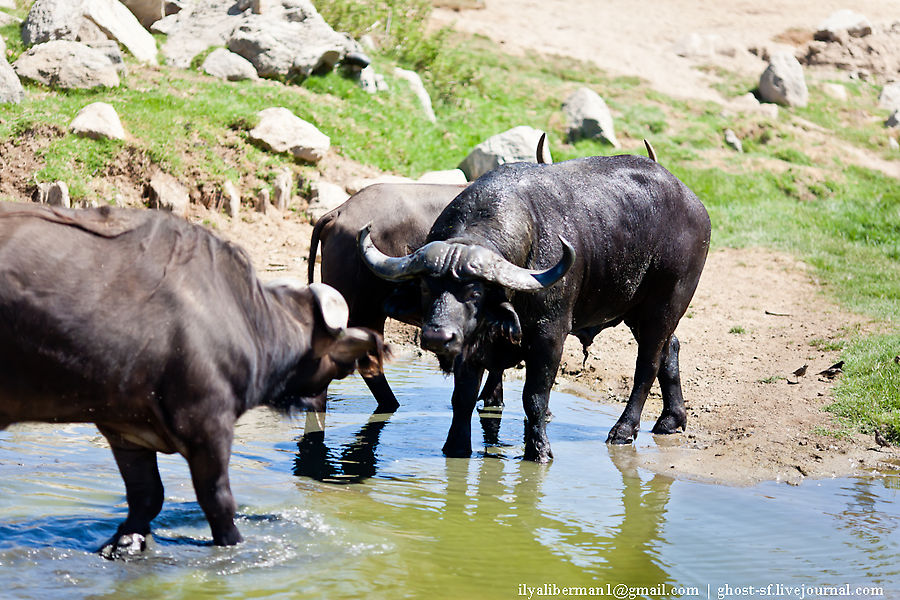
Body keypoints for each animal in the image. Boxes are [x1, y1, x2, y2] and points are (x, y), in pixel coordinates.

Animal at [358, 152, 712, 462]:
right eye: (425, 287)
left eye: (474, 293)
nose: (437, 337)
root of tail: (696, 208)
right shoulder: (472, 343)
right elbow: (463, 397)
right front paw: (456, 447)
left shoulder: (549, 339)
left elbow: (535, 398)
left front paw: (539, 451)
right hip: (639, 311)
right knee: (670, 349)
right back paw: (670, 420)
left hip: (664, 304)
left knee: (647, 364)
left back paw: (623, 430)